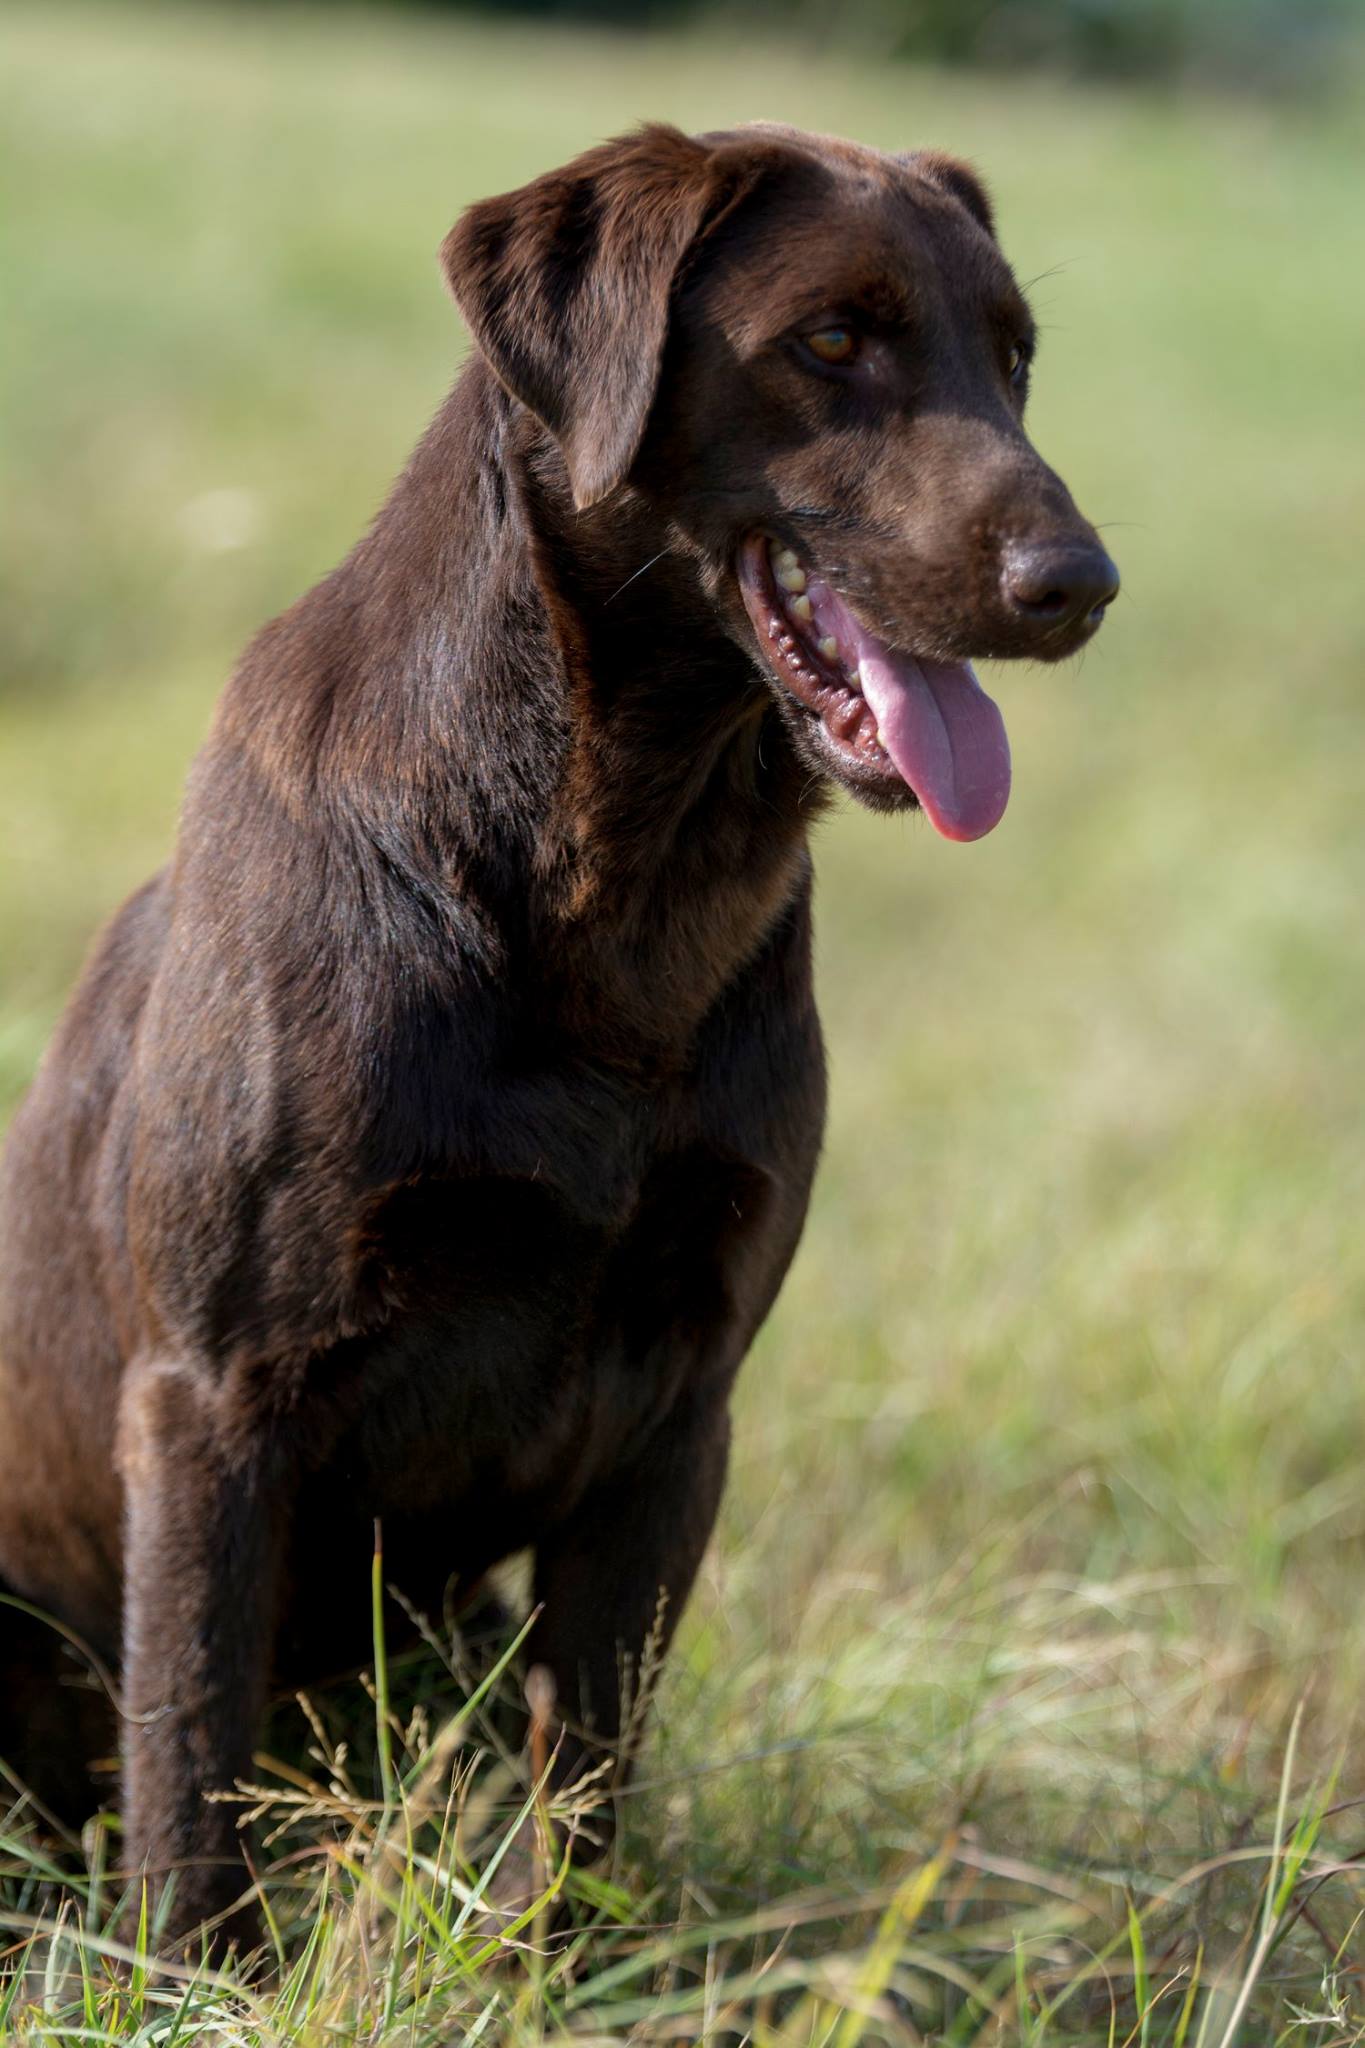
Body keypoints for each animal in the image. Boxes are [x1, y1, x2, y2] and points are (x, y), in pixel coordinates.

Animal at [0, 119, 1113, 1941]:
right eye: (833, 338)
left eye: (1015, 359)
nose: (1078, 584)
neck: (613, 884)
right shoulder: (212, 1395)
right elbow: (188, 1756)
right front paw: (193, 1976)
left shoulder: (679, 1407)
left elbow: (586, 1772)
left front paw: (555, 1965)